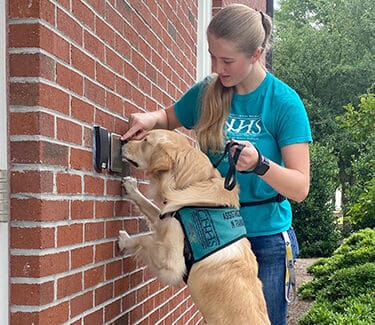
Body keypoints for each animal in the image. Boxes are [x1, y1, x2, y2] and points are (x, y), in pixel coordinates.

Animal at [119, 130, 268, 324]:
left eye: (145, 140)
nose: (123, 142)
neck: (192, 182)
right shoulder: (168, 218)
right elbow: (149, 206)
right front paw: (131, 188)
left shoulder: (172, 264)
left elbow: (146, 238)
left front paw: (125, 240)